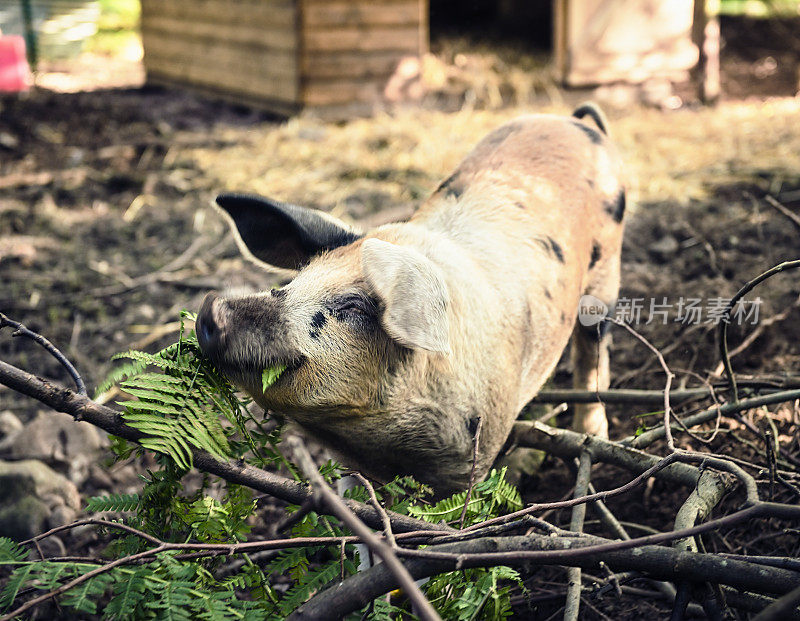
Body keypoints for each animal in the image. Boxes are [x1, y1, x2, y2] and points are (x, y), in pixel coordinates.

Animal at [195, 104, 624, 496]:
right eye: (291, 282)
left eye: (353, 305)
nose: (213, 309)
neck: (383, 447)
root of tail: (572, 121)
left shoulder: (474, 453)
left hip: (605, 276)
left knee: (592, 351)